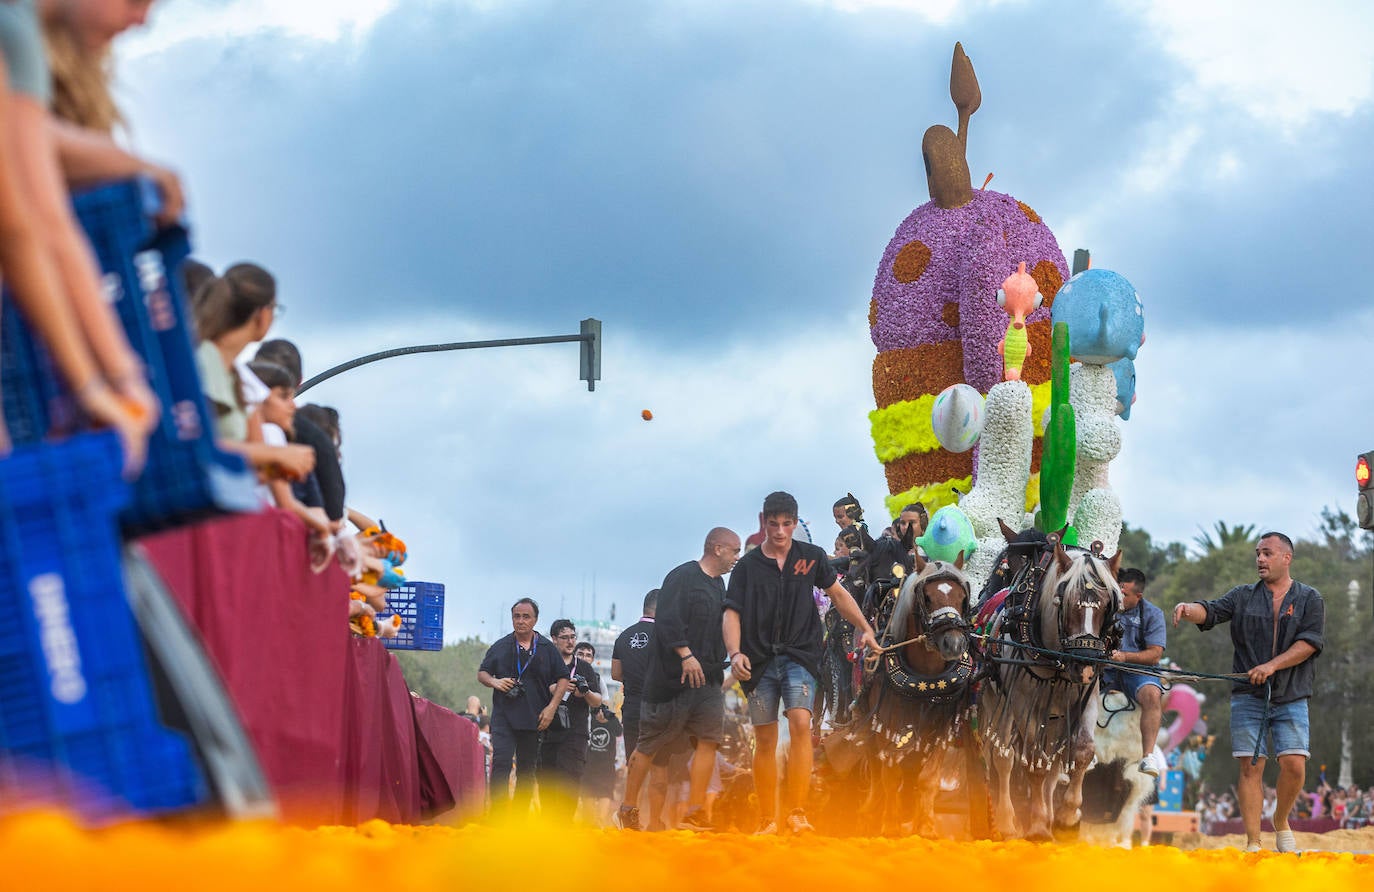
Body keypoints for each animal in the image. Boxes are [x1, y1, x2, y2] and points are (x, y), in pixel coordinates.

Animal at [835, 549, 978, 835]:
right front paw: (889, 825)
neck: (925, 681)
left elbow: (928, 777)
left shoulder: (941, 729)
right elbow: (889, 776)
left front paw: (925, 826)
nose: (954, 643)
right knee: (875, 766)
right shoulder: (886, 726)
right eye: (927, 597)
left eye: (962, 598)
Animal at [978, 527, 1115, 841]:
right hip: (997, 704)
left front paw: (1067, 817)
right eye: (1064, 602)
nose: (1086, 663)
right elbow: (1034, 761)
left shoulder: (1086, 698)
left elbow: (1082, 751)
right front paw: (1039, 825)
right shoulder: (1023, 701)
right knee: (1002, 756)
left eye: (1106, 606)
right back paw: (1006, 822)